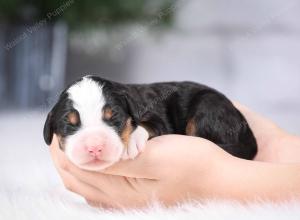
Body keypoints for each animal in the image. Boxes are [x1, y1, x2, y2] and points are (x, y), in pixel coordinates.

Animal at [43, 75, 256, 170]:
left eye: (115, 117)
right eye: (69, 124)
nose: (95, 147)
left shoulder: (157, 118)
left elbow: (146, 124)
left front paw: (131, 142)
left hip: (208, 107)